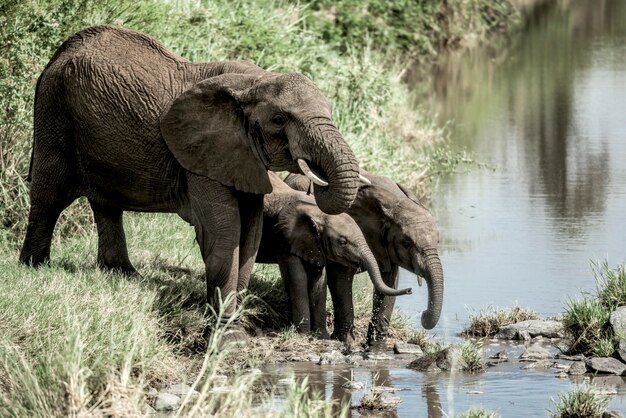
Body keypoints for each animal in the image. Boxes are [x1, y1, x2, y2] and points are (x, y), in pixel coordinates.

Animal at [19, 24, 364, 342]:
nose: (314, 177)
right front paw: (229, 336)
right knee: (50, 195)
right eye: (279, 120)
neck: (254, 82)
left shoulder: (241, 157)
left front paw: (233, 325)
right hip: (55, 111)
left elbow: (250, 235)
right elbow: (226, 233)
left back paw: (121, 273)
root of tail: (59, 53)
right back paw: (34, 267)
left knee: (106, 204)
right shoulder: (200, 155)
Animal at [254, 173, 410, 336]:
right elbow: (298, 279)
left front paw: (321, 336)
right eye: (342, 242)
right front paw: (304, 334)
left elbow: (319, 281)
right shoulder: (285, 239)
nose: (410, 290)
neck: (316, 212)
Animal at [286, 171, 442, 352]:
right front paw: (345, 342)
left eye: (438, 241)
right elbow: (340, 279)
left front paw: (376, 349)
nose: (423, 314)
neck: (394, 203)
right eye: (407, 243)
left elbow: (388, 283)